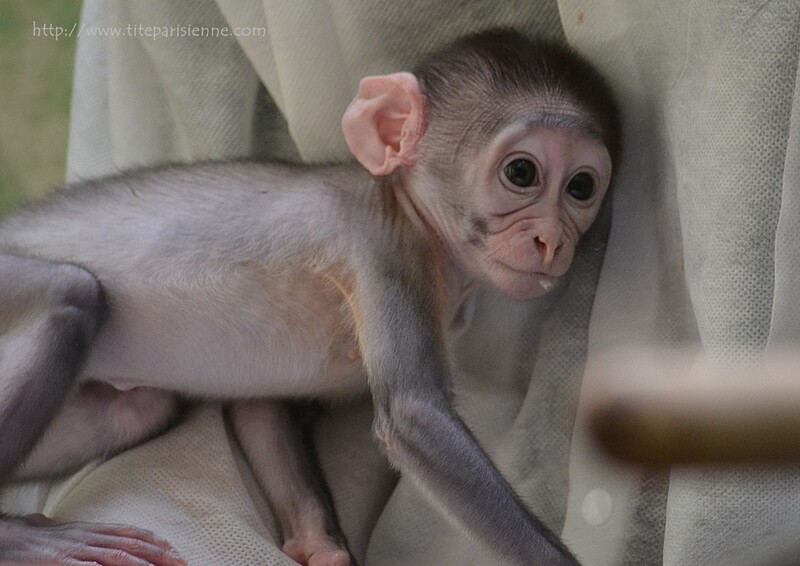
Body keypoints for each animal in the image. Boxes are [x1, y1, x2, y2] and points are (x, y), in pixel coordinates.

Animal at [0, 30, 620, 566]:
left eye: (581, 187)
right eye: (522, 172)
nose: (553, 240)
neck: (411, 214)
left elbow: (258, 409)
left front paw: (319, 547)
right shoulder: (386, 247)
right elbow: (416, 419)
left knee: (139, 408)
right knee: (70, 293)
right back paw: (23, 540)